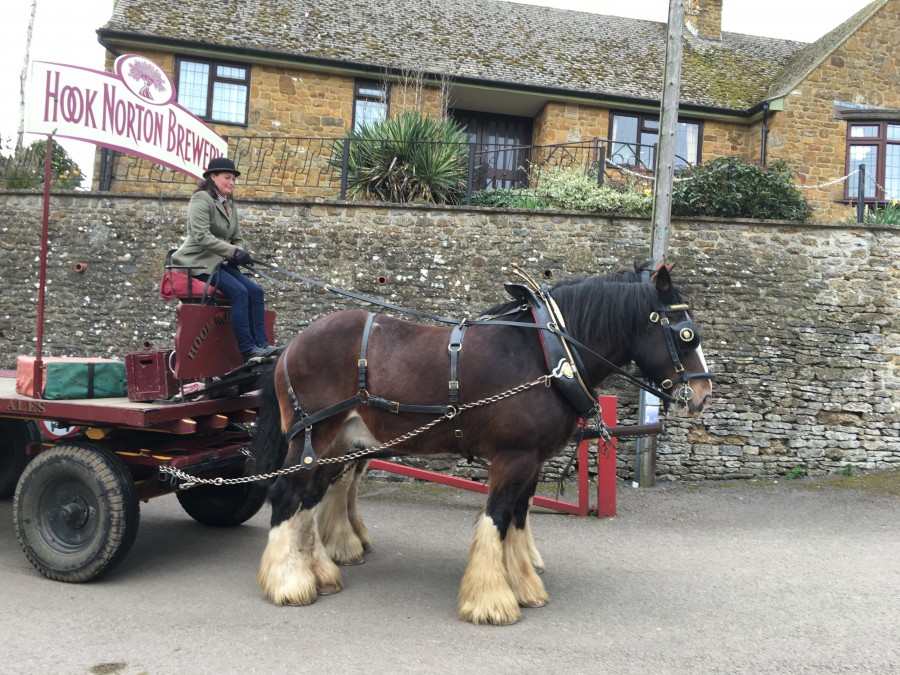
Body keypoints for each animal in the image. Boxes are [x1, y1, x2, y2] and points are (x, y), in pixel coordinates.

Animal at [251, 266, 712, 624]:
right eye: (686, 334)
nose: (703, 394)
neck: (549, 355)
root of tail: (292, 344)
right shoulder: (512, 457)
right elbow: (497, 517)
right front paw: (491, 601)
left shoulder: (532, 460)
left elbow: (518, 519)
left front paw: (524, 584)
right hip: (314, 436)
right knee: (287, 494)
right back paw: (289, 582)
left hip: (340, 443)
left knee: (311, 497)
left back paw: (320, 572)